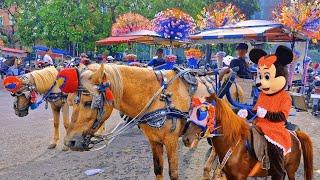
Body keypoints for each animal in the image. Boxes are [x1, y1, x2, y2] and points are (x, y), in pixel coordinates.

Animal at [182, 94, 312, 180]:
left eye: (203, 111)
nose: (186, 139)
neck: (233, 145)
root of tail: (294, 134)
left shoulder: (240, 176)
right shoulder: (229, 175)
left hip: (290, 169)